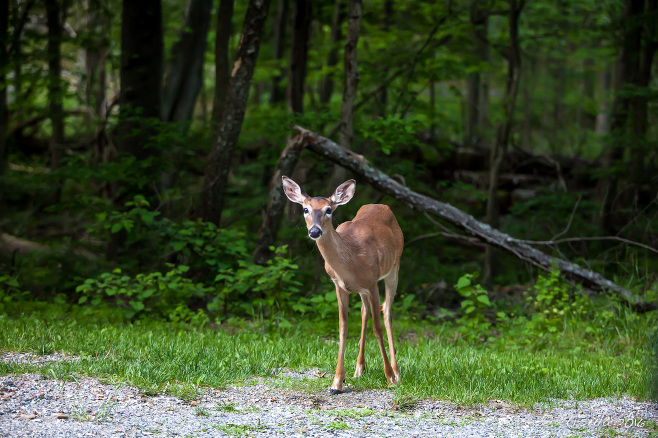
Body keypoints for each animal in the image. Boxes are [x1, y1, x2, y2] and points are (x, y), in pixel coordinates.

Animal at [280, 175, 402, 394]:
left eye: (329, 209)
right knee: (365, 311)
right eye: (305, 209)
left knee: (386, 311)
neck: (352, 260)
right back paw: (359, 368)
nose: (314, 231)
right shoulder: (338, 285)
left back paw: (396, 372)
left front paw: (389, 378)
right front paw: (337, 382)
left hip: (394, 268)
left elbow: (377, 328)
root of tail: (382, 205)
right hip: (363, 290)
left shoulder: (372, 283)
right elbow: (343, 327)